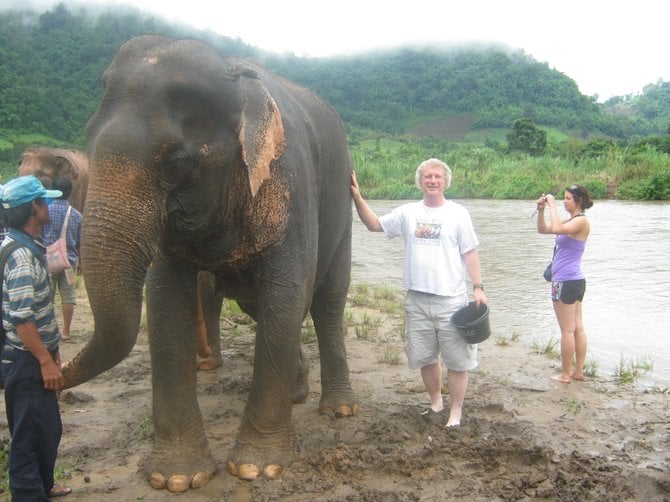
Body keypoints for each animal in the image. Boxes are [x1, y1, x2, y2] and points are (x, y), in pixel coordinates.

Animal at [60, 36, 360, 494]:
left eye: (177, 162)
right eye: (88, 146)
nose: (51, 375)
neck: (233, 74)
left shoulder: (290, 184)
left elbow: (288, 291)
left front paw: (257, 470)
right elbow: (166, 297)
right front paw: (176, 478)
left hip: (341, 209)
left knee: (326, 302)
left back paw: (338, 410)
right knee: (261, 307)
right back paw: (297, 393)